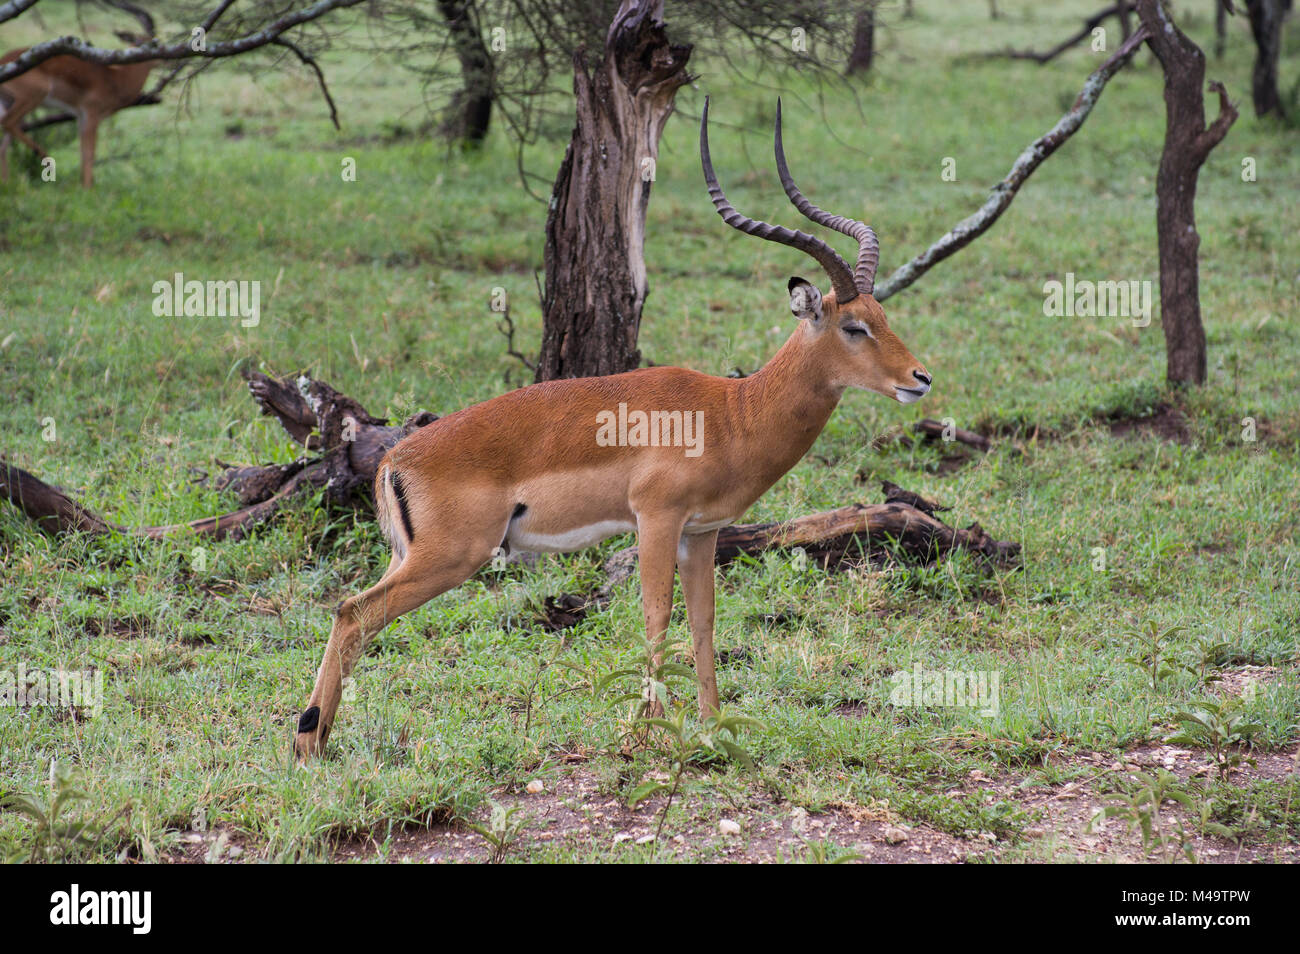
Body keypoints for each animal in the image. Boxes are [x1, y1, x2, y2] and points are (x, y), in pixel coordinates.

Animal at [0, 4, 159, 188]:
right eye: (152, 43)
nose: (170, 61)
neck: (116, 78)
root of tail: (3, 62)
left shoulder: (80, 117)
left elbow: (84, 153)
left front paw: (84, 186)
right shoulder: (91, 114)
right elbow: (90, 153)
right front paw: (89, 188)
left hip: (7, 102)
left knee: (3, 142)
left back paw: (7, 184)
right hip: (34, 95)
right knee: (8, 123)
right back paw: (44, 156)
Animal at [294, 98, 932, 759]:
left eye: (883, 314)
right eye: (853, 326)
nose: (920, 378)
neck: (733, 411)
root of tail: (395, 461)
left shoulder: (702, 532)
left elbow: (702, 622)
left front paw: (710, 728)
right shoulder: (656, 519)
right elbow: (656, 617)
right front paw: (647, 732)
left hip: (418, 557)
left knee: (351, 613)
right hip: (451, 557)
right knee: (351, 612)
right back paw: (309, 745)